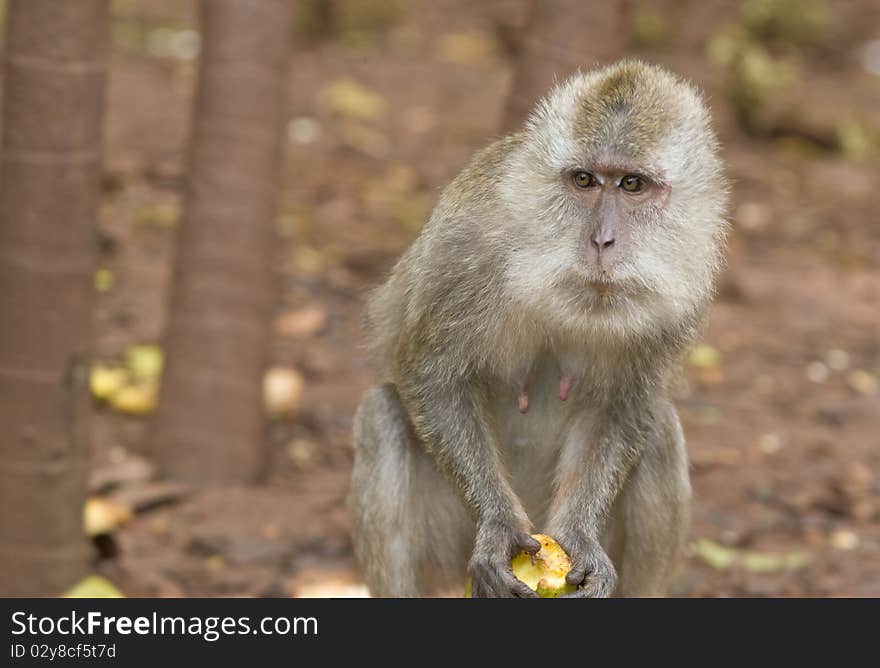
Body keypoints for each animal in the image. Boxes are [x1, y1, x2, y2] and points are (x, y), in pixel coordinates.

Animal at [348, 60, 724, 596]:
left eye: (632, 184)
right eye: (584, 180)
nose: (602, 241)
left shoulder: (688, 285)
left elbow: (624, 407)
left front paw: (580, 535)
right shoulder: (466, 240)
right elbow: (429, 374)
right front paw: (500, 526)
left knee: (661, 433)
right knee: (381, 418)